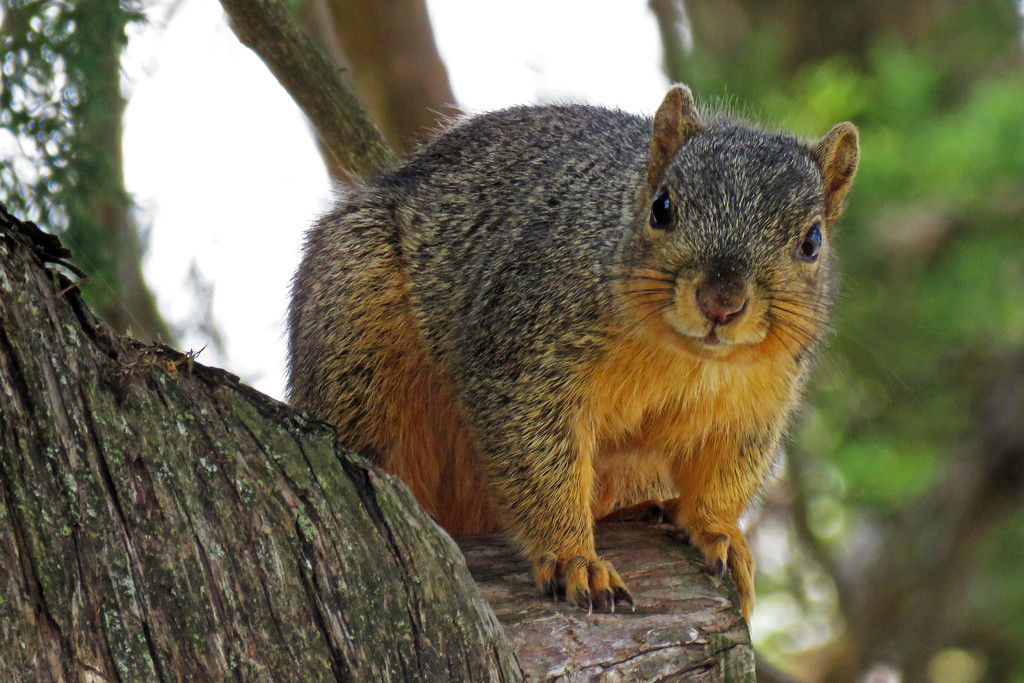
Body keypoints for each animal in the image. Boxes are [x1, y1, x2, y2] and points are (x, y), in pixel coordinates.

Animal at [286, 83, 856, 618]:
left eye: (812, 242)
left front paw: (721, 535)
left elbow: (724, 478)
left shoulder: (755, 406)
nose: (722, 302)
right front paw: (574, 559)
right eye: (662, 208)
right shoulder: (525, 358)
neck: (684, 358)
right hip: (359, 336)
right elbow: (538, 461)